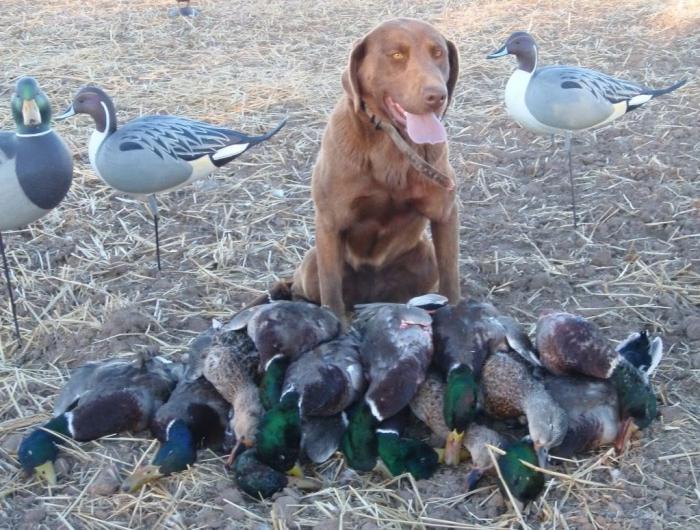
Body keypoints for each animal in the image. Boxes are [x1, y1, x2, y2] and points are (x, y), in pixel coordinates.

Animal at [290, 18, 460, 320]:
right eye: (397, 55)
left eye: (438, 53)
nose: (437, 96)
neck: (391, 144)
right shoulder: (329, 223)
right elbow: (331, 291)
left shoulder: (445, 213)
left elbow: (450, 277)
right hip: (311, 264)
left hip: (425, 257)